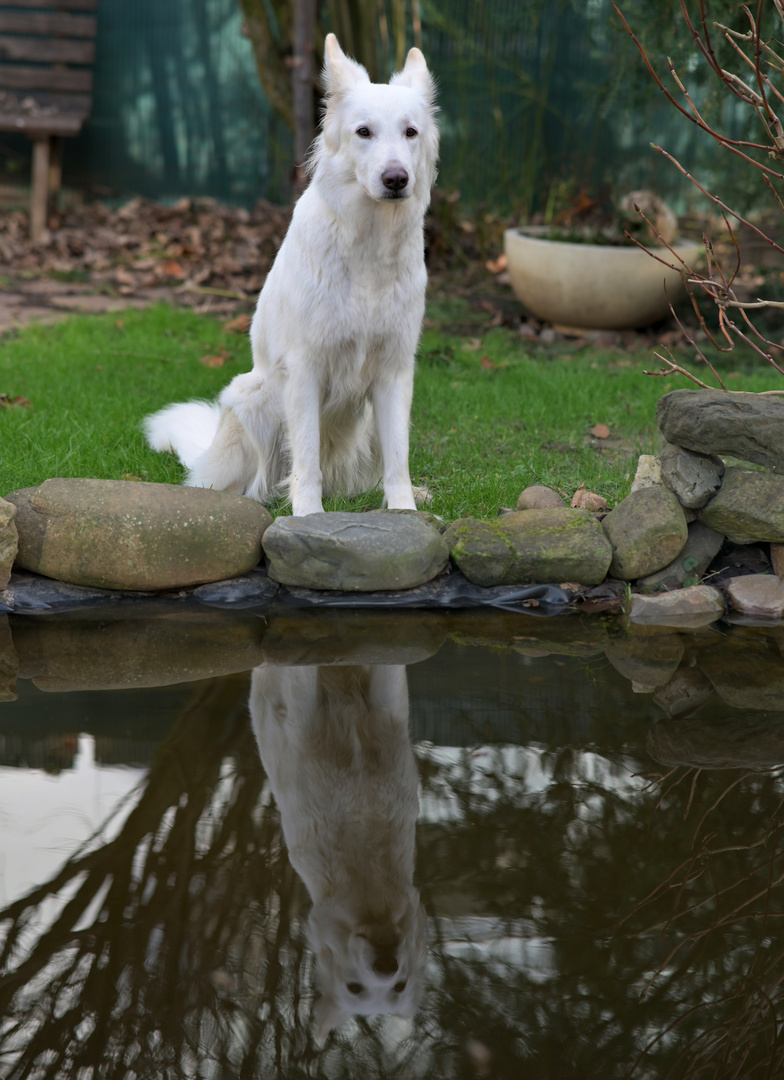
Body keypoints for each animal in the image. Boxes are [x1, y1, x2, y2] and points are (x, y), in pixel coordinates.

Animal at [144, 35, 438, 516]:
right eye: (364, 132)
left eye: (410, 132)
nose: (396, 179)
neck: (368, 249)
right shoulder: (305, 373)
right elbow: (306, 461)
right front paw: (309, 516)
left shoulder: (394, 374)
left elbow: (399, 460)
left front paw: (405, 515)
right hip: (256, 399)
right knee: (253, 481)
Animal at [250, 665, 427, 1036]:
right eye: (354, 988)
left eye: (400, 986)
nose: (386, 964)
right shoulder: (305, 754)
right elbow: (297, 695)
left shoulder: (390, 749)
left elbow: (387, 685)